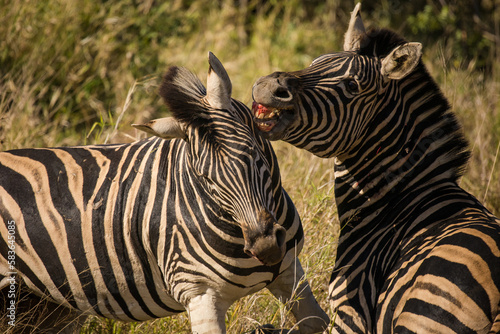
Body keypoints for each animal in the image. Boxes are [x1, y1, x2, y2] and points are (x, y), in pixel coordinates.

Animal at [0, 53, 328, 332]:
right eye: (204, 177)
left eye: (254, 154)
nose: (266, 248)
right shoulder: (199, 294)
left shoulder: (289, 269)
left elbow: (316, 323)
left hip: (49, 306)